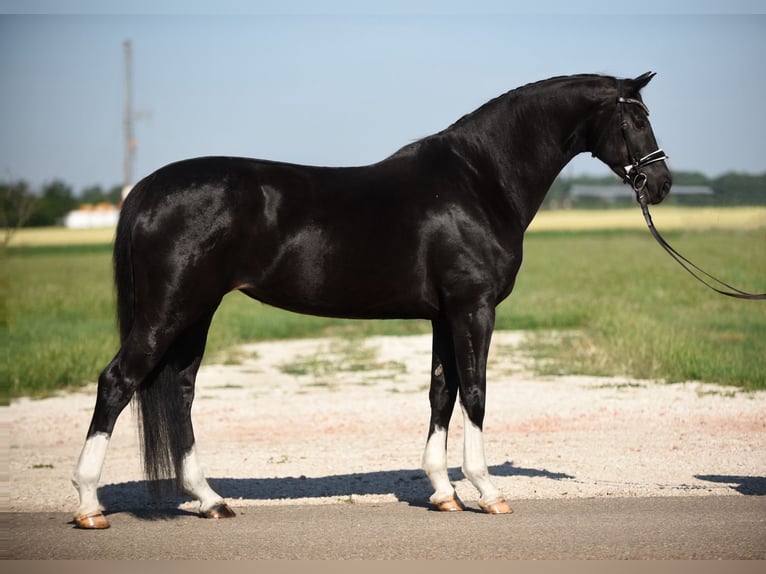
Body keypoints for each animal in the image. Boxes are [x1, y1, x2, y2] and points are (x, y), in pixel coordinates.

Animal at [72, 73, 672, 532]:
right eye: (636, 119)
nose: (661, 182)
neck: (480, 181)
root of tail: (149, 187)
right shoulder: (474, 308)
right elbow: (475, 394)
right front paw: (486, 490)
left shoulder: (442, 316)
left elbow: (441, 394)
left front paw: (443, 492)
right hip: (169, 311)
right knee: (118, 382)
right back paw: (89, 504)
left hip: (196, 312)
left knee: (179, 391)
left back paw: (210, 499)